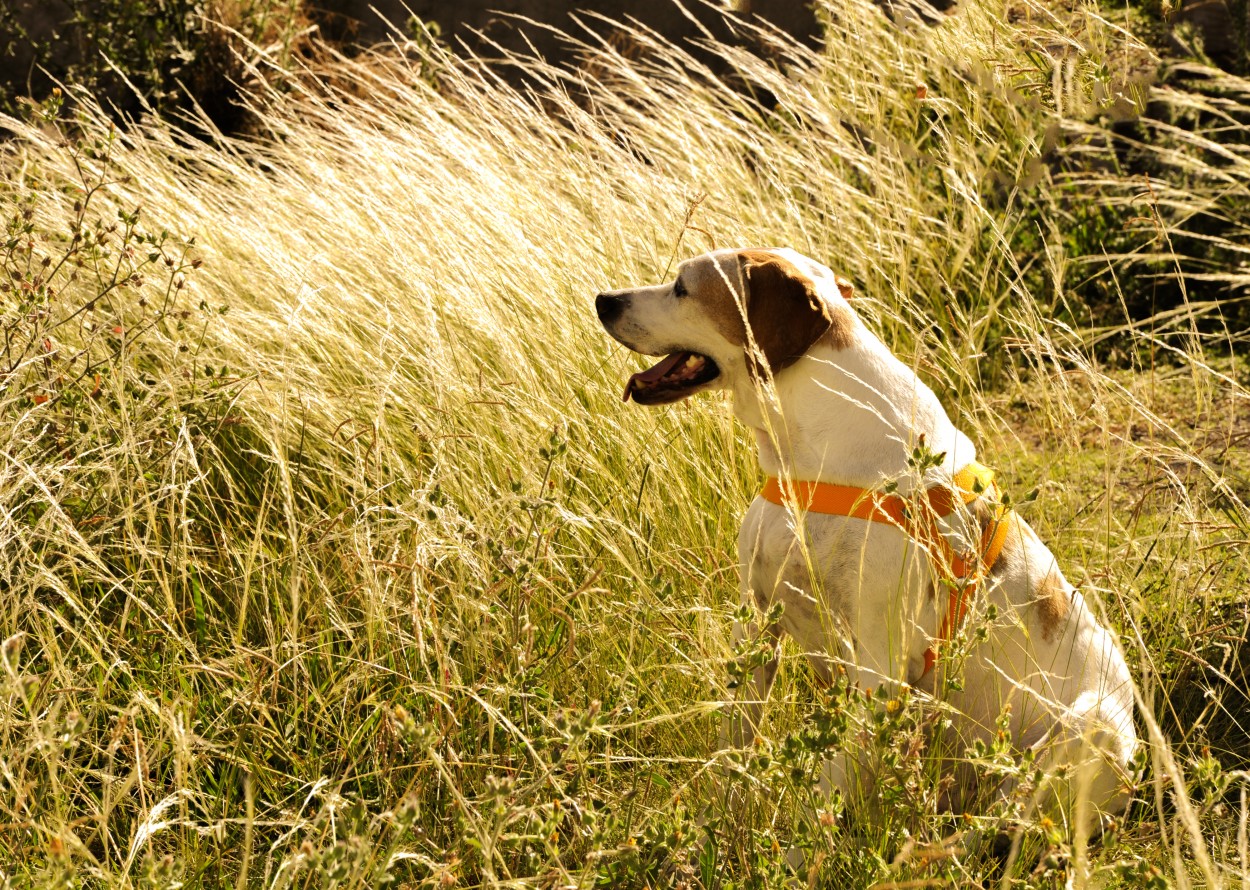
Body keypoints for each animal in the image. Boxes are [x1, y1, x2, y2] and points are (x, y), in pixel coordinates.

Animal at [597, 246, 1145, 840]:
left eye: (682, 287)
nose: (603, 301)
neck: (809, 459)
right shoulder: (757, 620)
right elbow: (734, 745)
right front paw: (714, 827)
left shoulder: (878, 670)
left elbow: (824, 795)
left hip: (1088, 728)